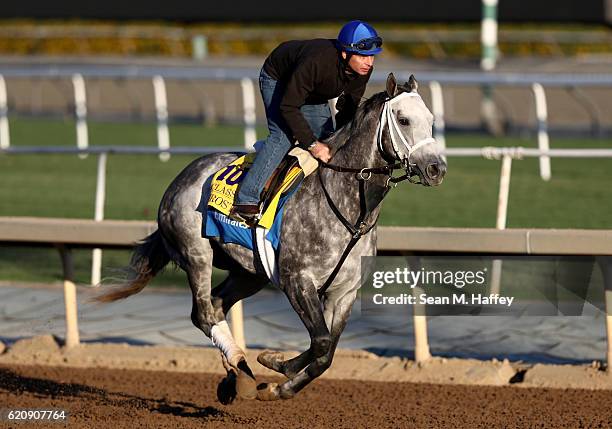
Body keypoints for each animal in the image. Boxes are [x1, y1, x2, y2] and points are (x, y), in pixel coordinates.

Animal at [98, 72, 448, 402]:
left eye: (431, 119)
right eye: (403, 119)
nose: (437, 169)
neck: (349, 208)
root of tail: (182, 177)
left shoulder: (344, 292)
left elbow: (326, 355)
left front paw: (278, 387)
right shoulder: (297, 280)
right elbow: (321, 342)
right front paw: (275, 361)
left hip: (250, 272)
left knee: (217, 304)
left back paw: (237, 375)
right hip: (196, 253)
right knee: (203, 313)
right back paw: (240, 369)